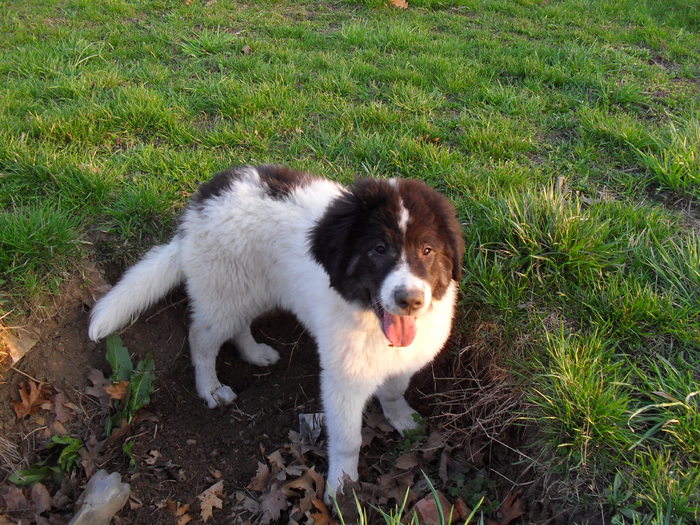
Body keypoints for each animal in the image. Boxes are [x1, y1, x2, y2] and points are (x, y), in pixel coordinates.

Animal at [90, 165, 464, 500]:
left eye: (427, 250)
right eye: (379, 249)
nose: (411, 300)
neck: (368, 318)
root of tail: (201, 202)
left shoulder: (406, 358)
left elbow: (394, 389)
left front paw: (403, 419)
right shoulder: (343, 380)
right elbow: (348, 440)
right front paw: (342, 489)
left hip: (251, 290)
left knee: (238, 325)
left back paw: (254, 353)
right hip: (224, 291)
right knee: (201, 337)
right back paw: (211, 388)